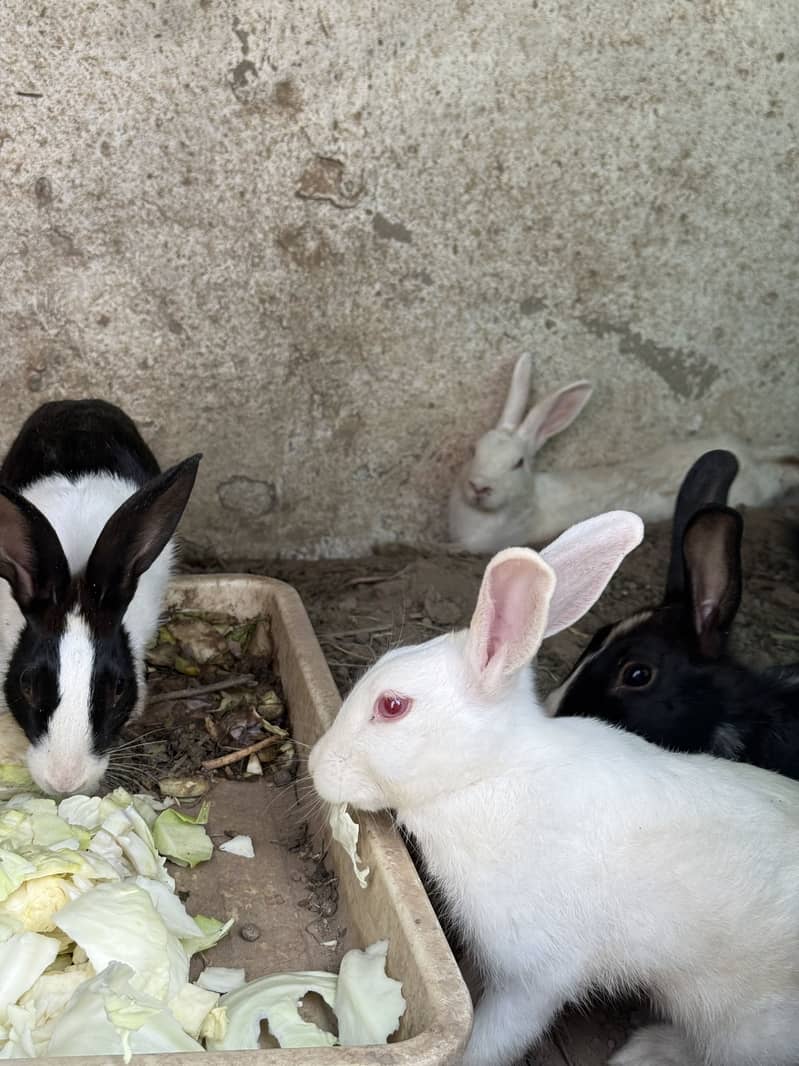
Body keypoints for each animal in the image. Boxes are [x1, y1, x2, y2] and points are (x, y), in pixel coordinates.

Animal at [310, 509, 799, 1066]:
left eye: (392, 706)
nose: (317, 765)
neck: (490, 774)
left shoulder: (535, 975)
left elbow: (498, 1034)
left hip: (743, 1025)